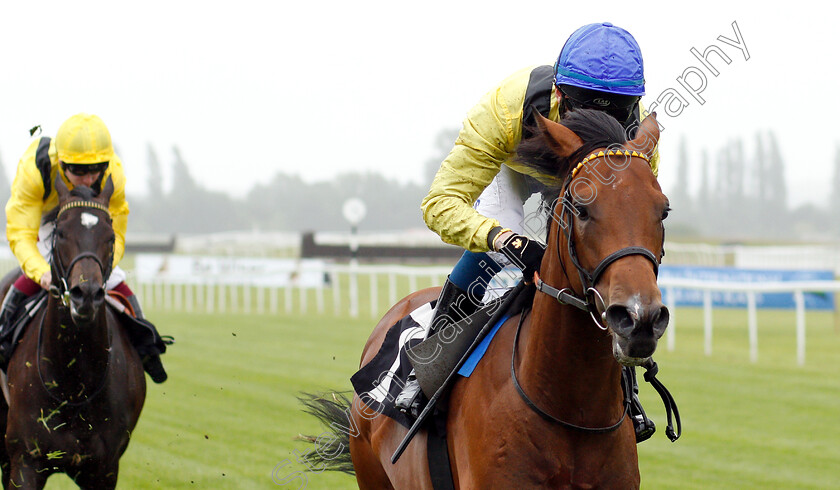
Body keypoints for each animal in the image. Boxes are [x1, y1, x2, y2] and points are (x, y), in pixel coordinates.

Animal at [0, 176, 145, 490]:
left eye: (110, 236)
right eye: (62, 233)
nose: (85, 294)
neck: (75, 382)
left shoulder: (104, 469)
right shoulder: (25, 462)